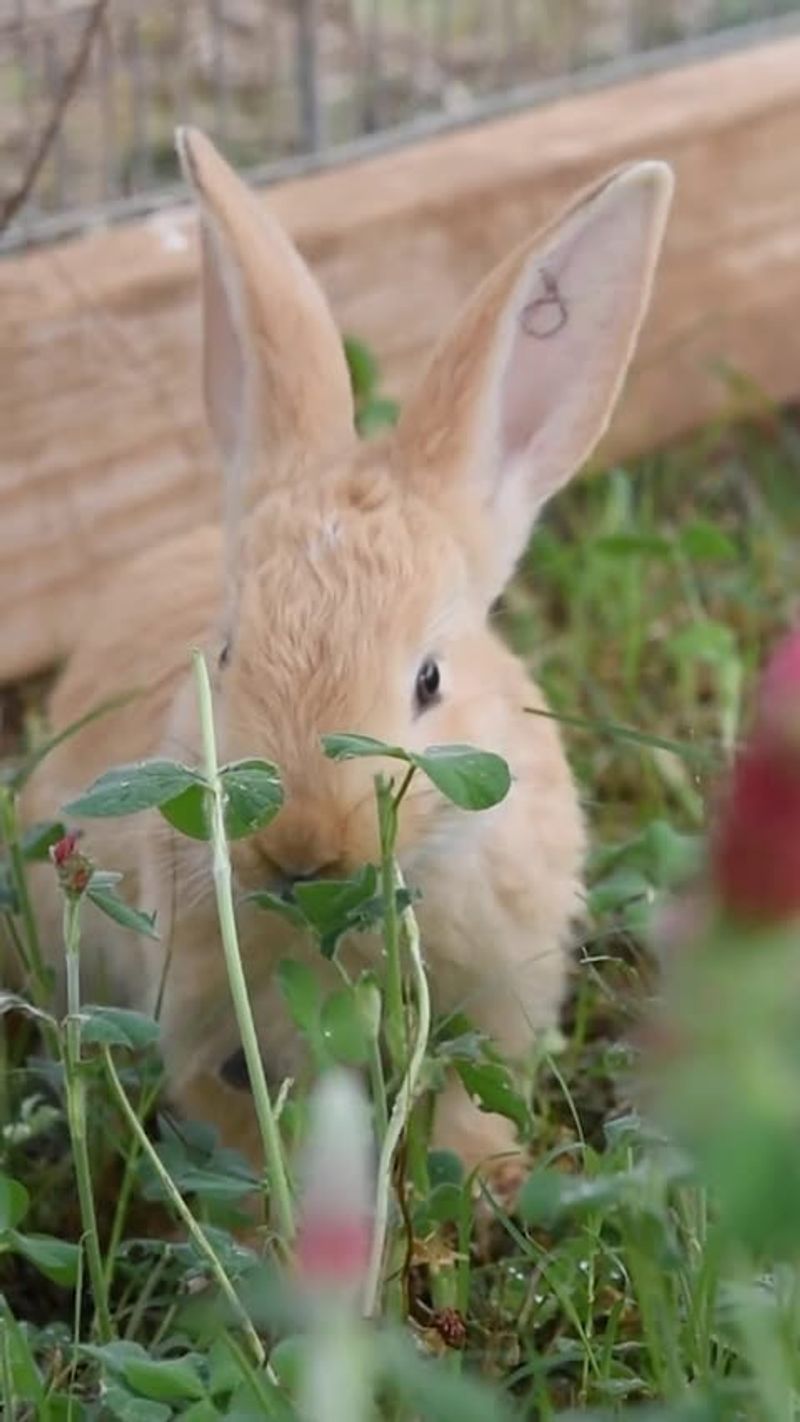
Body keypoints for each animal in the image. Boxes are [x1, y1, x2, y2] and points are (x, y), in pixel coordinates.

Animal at [21, 127, 673, 1183]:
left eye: (430, 679)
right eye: (227, 654)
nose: (300, 847)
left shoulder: (505, 991)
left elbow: (476, 1089)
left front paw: (489, 1176)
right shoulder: (197, 1018)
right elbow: (234, 1121)